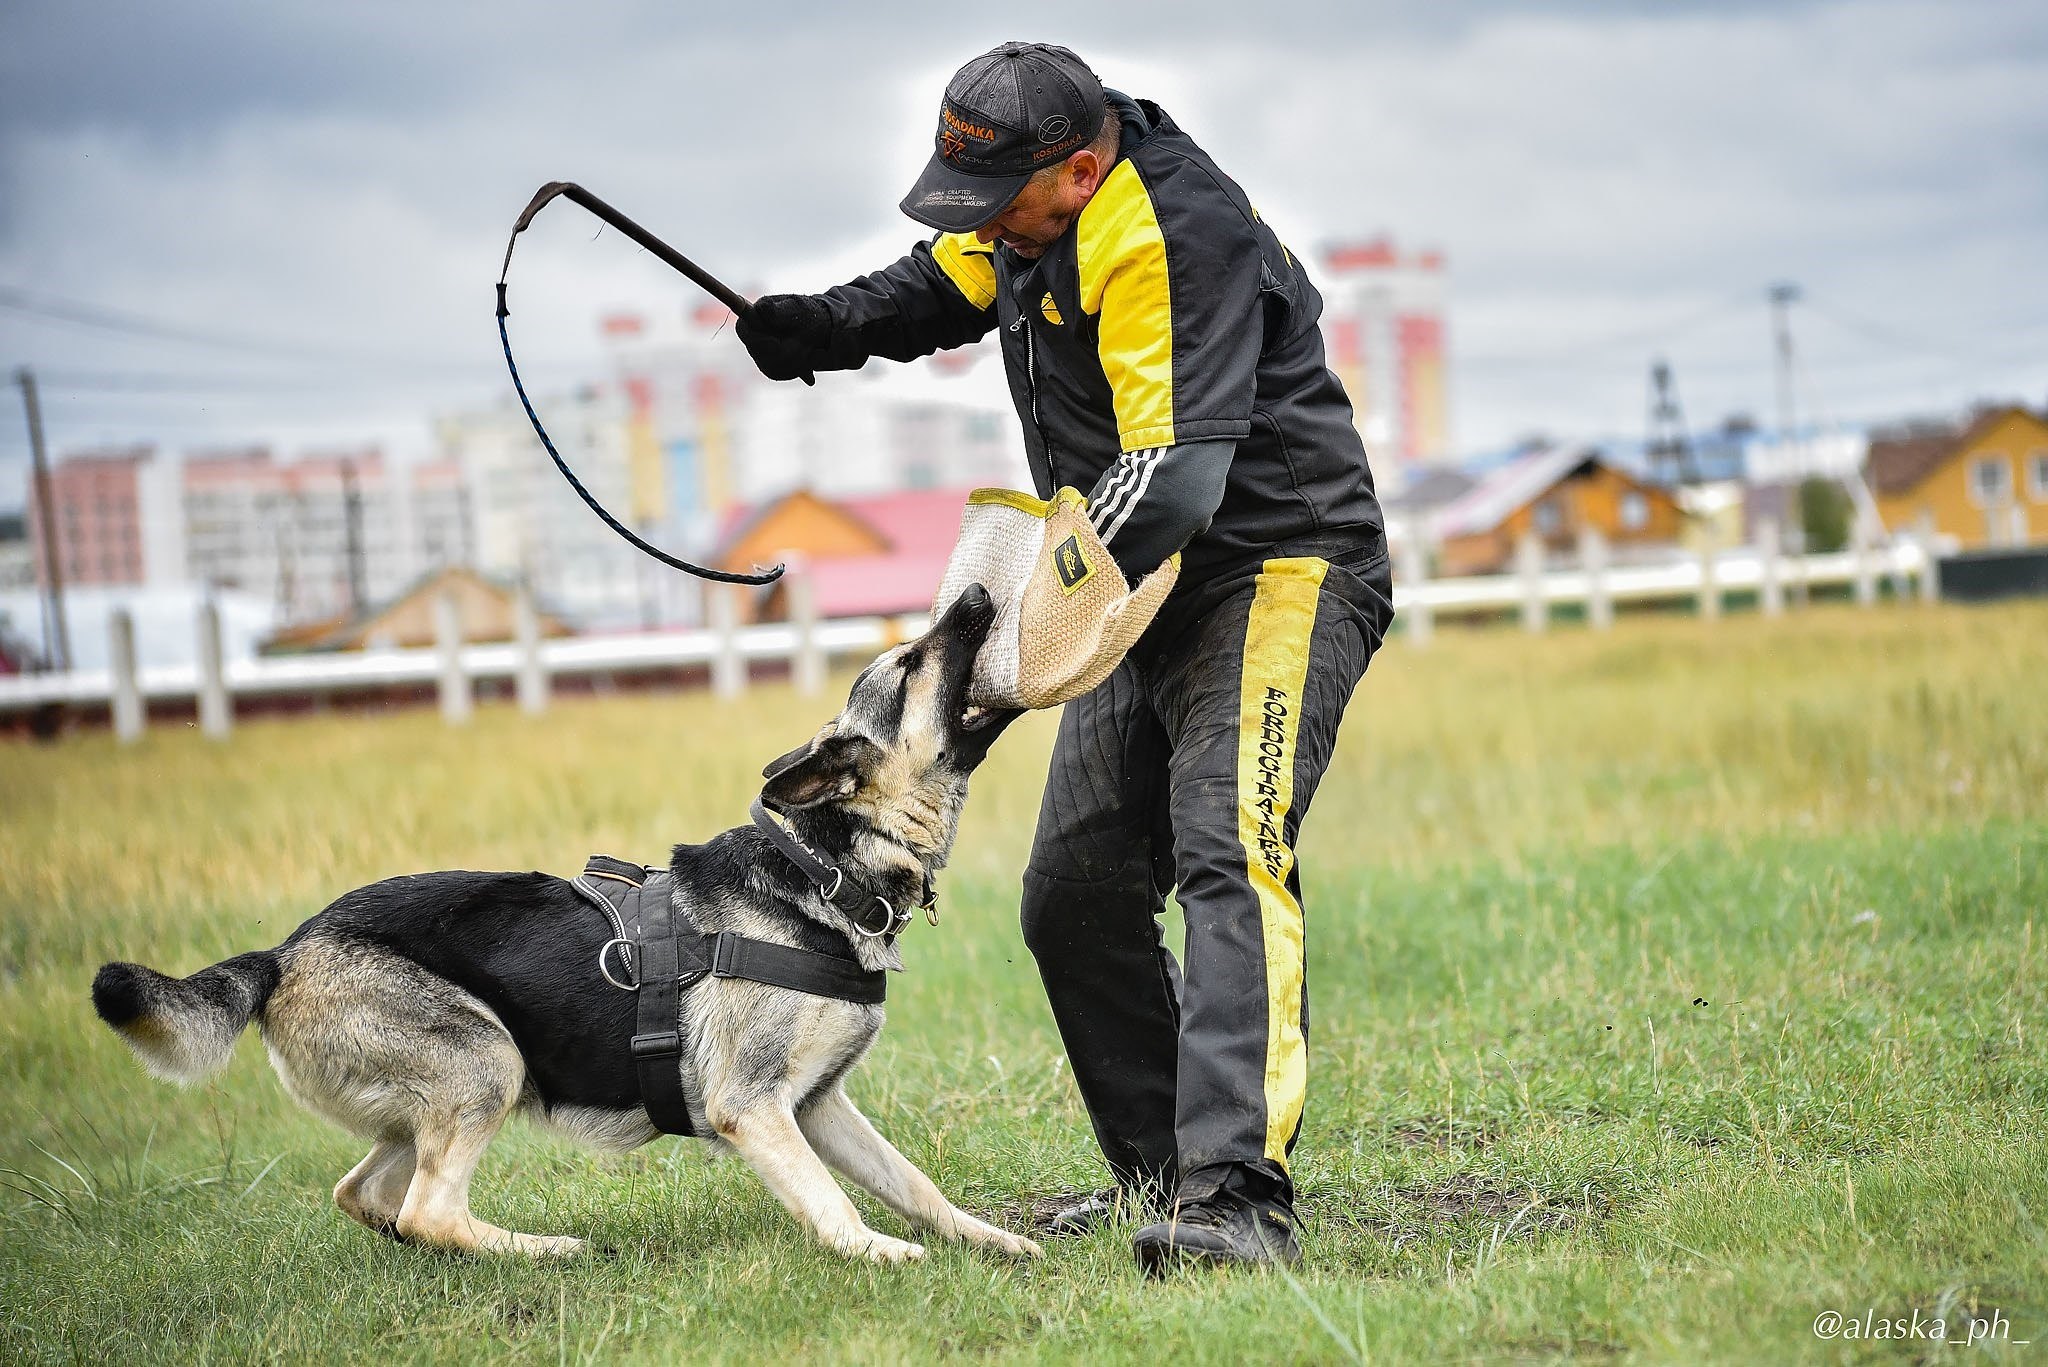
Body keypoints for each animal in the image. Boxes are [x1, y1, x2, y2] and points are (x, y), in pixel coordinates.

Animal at [90, 582, 1040, 1270]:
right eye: (912, 664)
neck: (820, 867)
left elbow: (913, 1184)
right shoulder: (755, 1108)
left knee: (368, 1196)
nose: (978, 591)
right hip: (489, 1061)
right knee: (430, 1208)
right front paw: (875, 1252)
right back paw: (546, 1250)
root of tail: (282, 953)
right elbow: (836, 1200)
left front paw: (988, 1239)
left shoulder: (818, 1105)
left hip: (427, 1101)